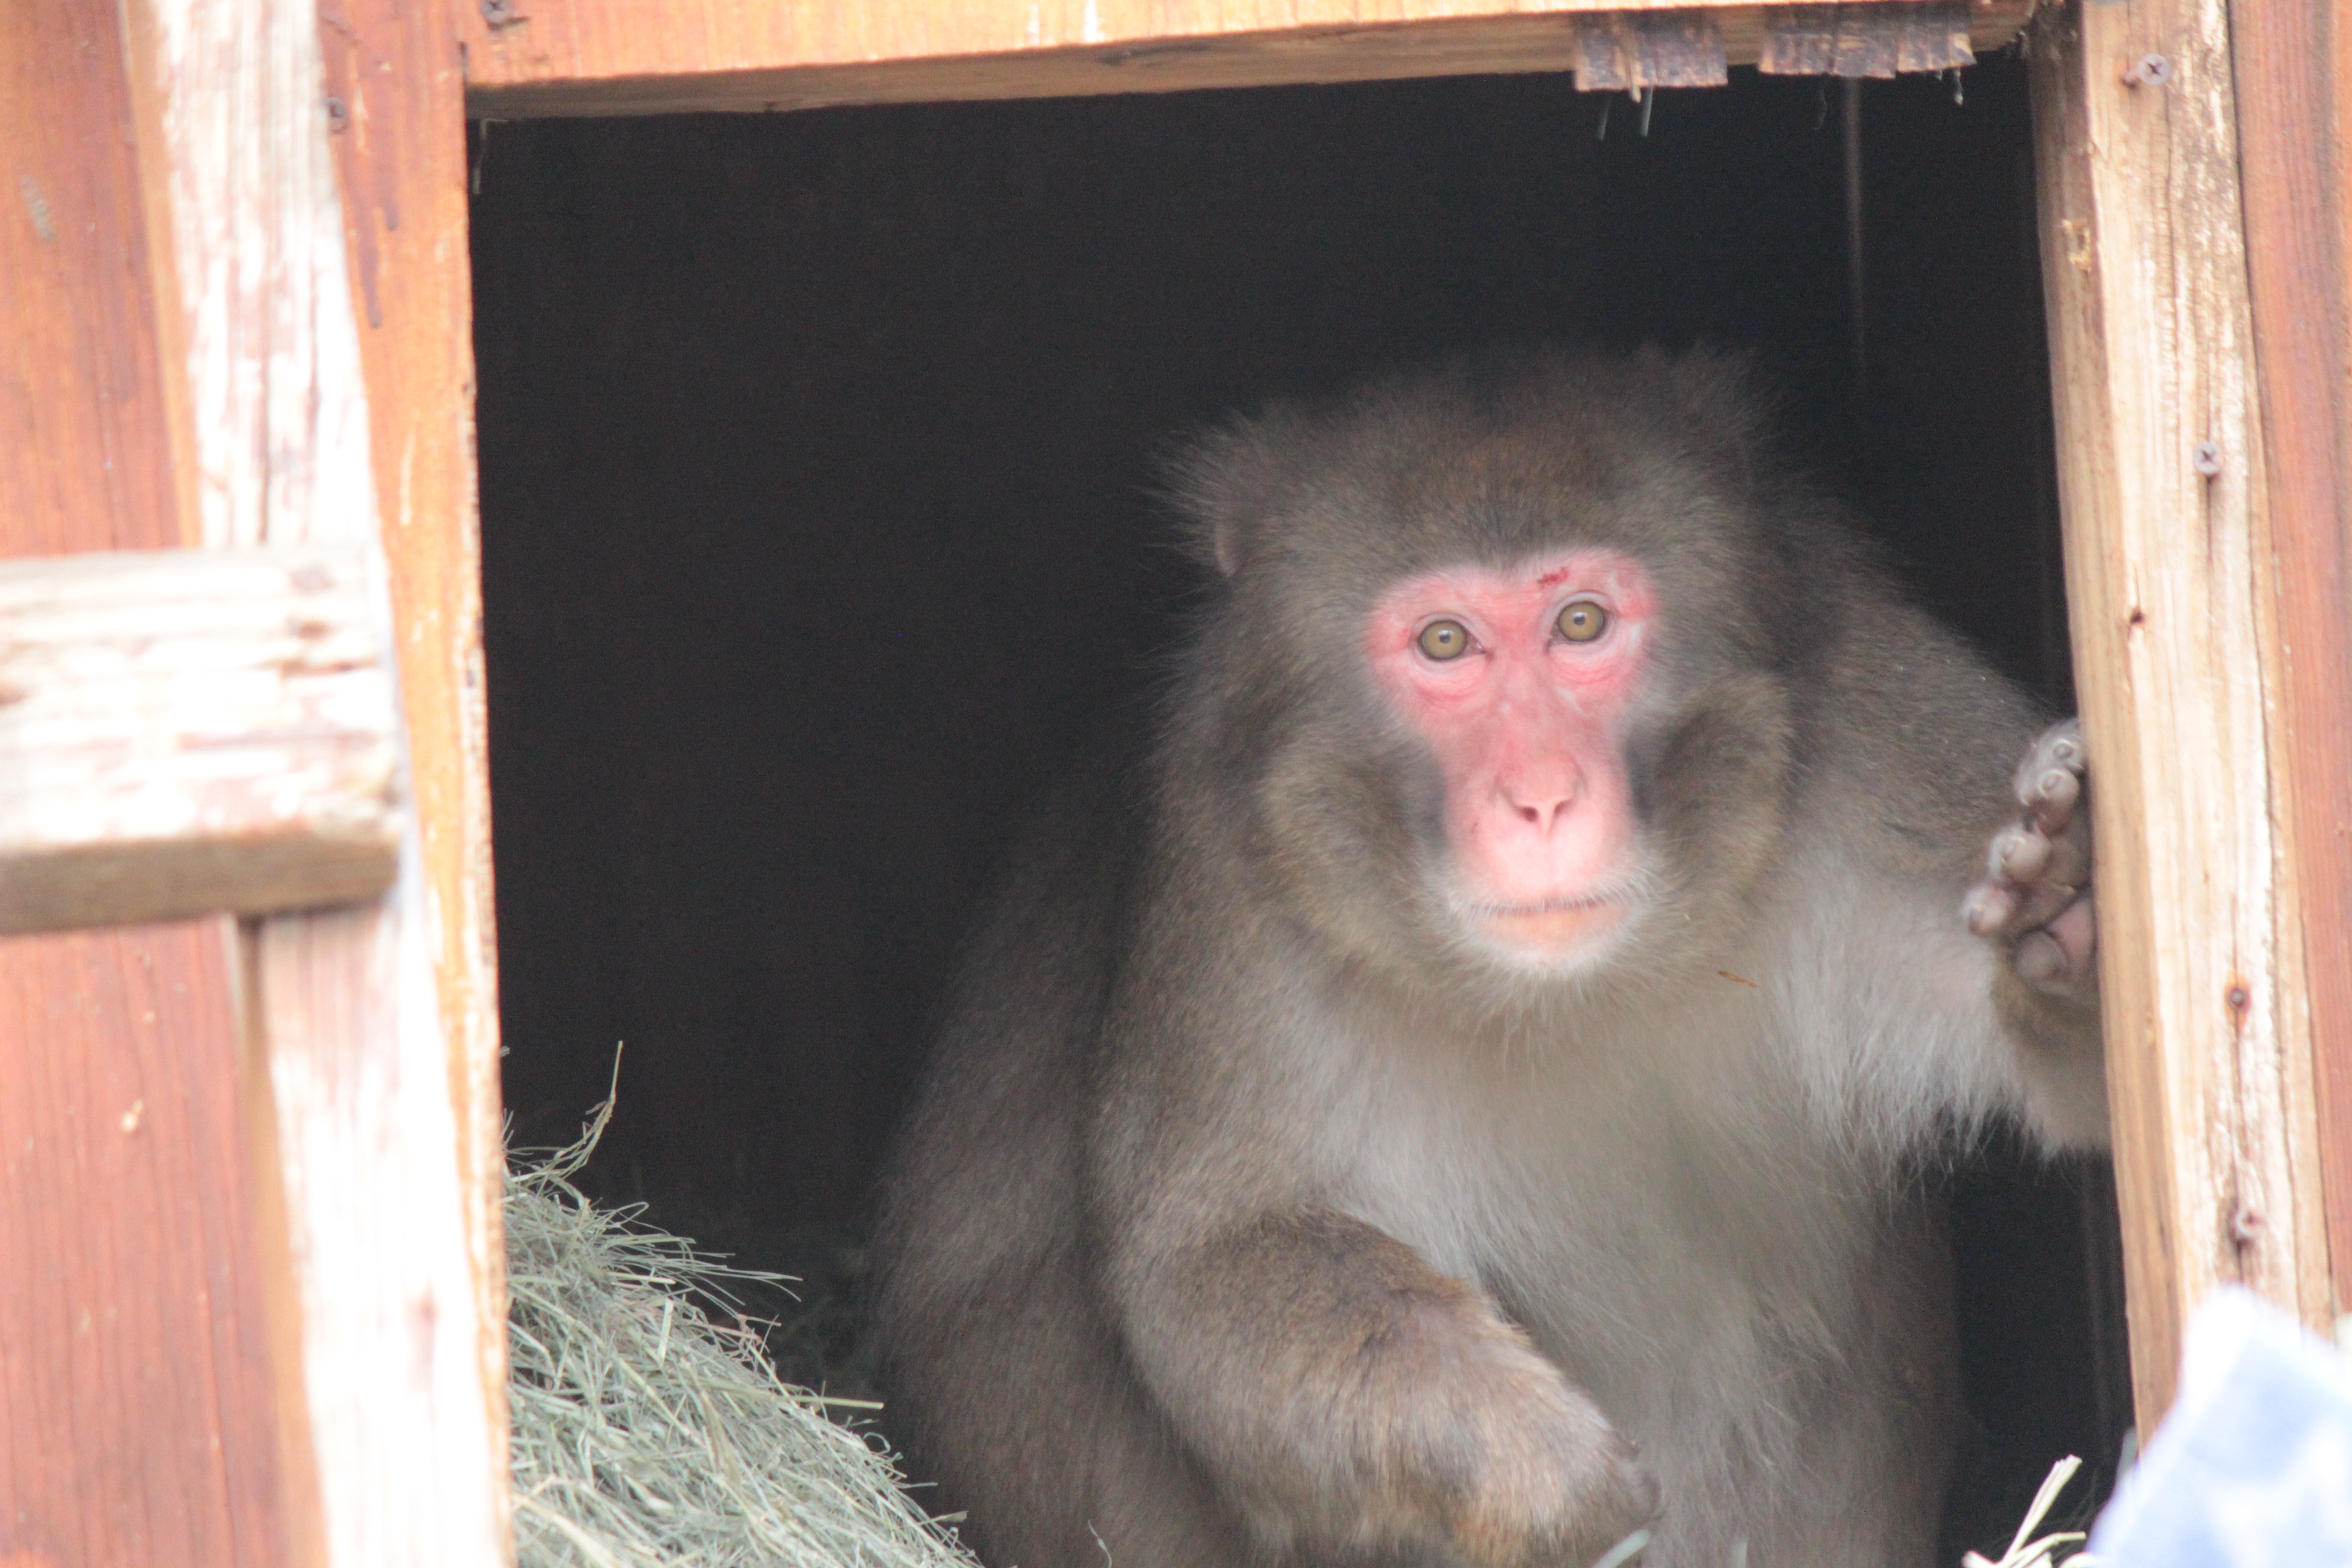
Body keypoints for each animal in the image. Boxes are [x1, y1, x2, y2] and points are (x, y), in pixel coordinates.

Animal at [872, 348, 2104, 1568]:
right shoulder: (1232, 869)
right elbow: (1210, 1259)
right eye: (1444, 643)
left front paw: (2067, 929)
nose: (1542, 796)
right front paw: (1533, 1459)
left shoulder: (1873, 729)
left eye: (1580, 623)